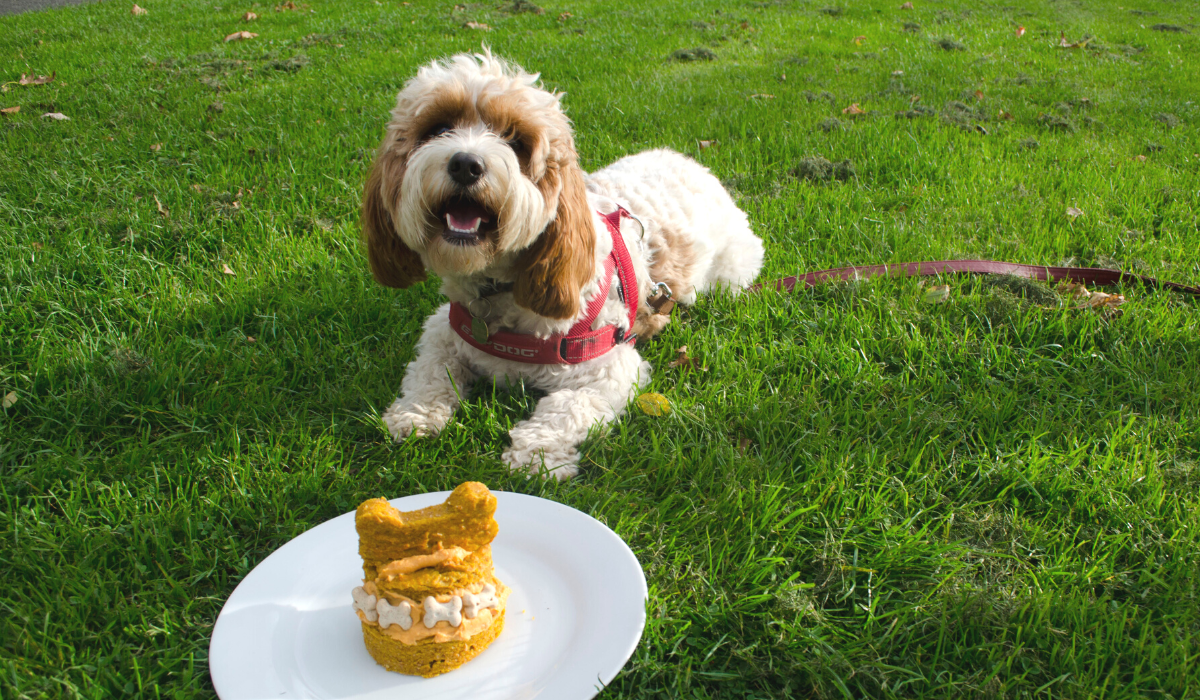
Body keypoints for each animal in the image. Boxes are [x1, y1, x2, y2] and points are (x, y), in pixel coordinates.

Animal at [360, 51, 763, 480]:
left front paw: (536, 455)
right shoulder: (441, 330)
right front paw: (415, 414)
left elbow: (564, 409)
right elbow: (428, 372)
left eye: (516, 142)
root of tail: (690, 162)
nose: (466, 164)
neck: (500, 288)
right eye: (438, 128)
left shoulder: (610, 369)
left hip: (734, 270)